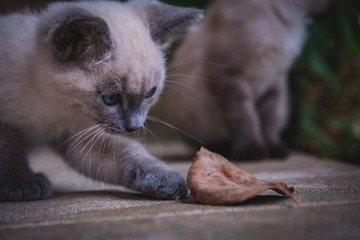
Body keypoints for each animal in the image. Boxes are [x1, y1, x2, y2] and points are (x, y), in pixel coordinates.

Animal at [0, 0, 202, 202]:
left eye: (149, 93)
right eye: (110, 98)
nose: (134, 127)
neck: (54, 108)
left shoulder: (78, 136)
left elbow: (129, 153)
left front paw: (167, 180)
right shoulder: (7, 123)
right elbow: (8, 151)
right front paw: (22, 183)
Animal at [165, 0, 334, 161]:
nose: (335, 9)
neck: (286, 24)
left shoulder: (274, 78)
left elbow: (269, 120)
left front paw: (273, 148)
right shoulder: (230, 76)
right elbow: (246, 118)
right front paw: (252, 150)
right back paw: (226, 149)